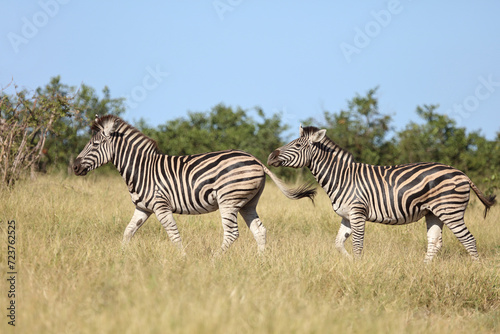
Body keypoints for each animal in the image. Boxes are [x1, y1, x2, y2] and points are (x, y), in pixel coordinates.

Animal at [72, 115, 314, 253]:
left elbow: (173, 234)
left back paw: (215, 260)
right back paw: (261, 261)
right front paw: (121, 257)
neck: (142, 169)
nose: (74, 166)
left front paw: (182, 259)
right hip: (248, 203)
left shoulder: (160, 206)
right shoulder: (143, 208)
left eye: (94, 145)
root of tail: (255, 160)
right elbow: (128, 232)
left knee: (232, 234)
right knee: (259, 231)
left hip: (228, 200)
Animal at [268, 126, 494, 264]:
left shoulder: (357, 212)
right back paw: (424, 270)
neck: (341, 177)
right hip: (434, 213)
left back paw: (476, 269)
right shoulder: (346, 216)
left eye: (297, 145)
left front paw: (357, 268)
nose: (270, 156)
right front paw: (350, 263)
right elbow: (339, 244)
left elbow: (357, 244)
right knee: (435, 243)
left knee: (468, 239)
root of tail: (463, 174)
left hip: (450, 210)